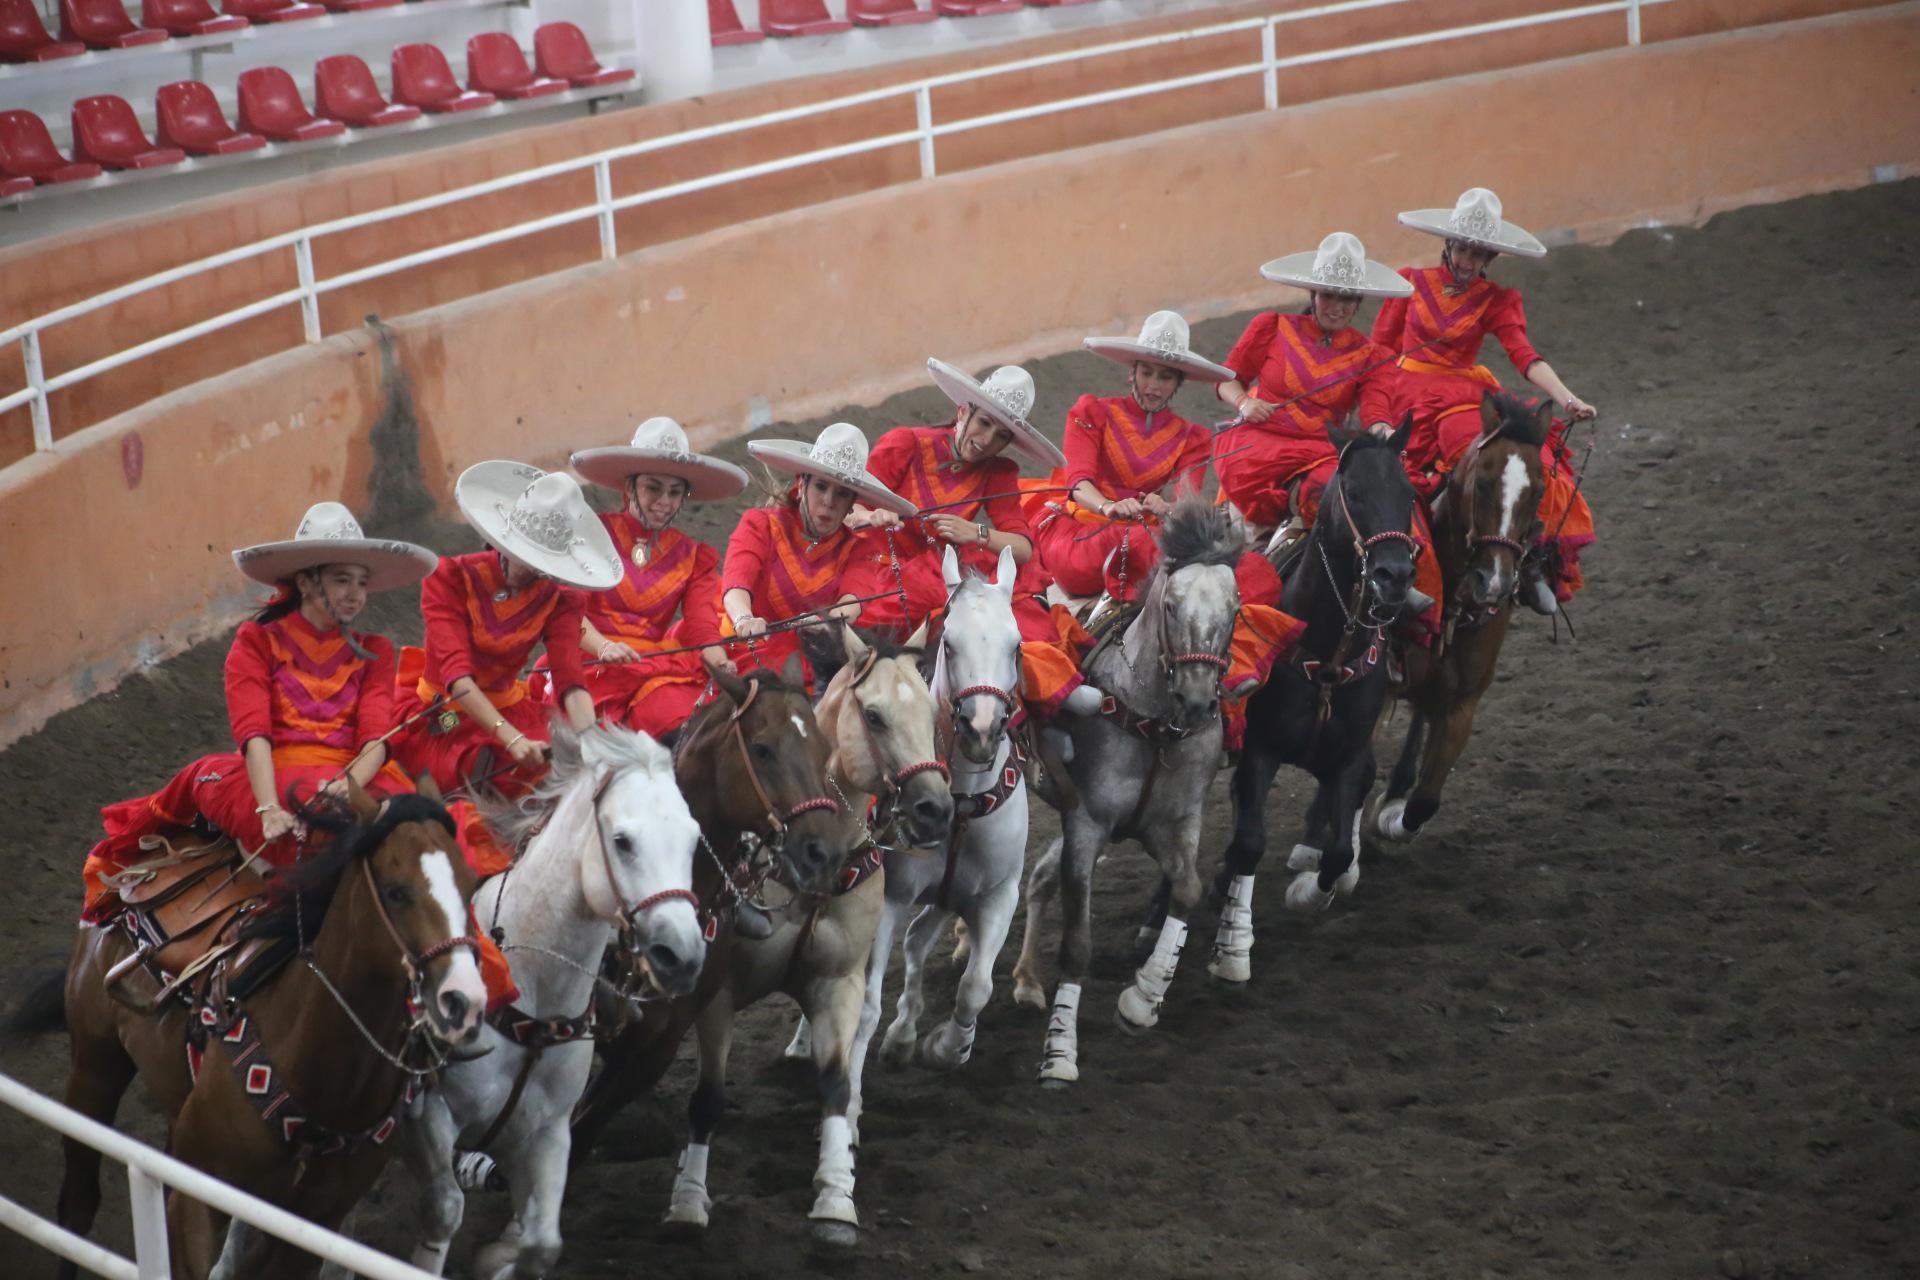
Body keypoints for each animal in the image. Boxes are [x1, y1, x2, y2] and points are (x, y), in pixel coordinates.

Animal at [55, 790, 487, 1280]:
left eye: (471, 887)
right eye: (396, 892)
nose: (464, 1001)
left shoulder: (315, 1224)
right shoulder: (198, 1197)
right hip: (95, 1064)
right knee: (78, 1204)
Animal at [401, 725, 710, 1274]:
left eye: (694, 838)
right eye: (622, 841)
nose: (682, 955)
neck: (532, 1001)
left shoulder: (546, 1134)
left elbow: (542, 1244)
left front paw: (497, 1258)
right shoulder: (432, 1116)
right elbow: (443, 1212)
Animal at [852, 548, 1036, 1120]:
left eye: (1016, 644)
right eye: (949, 643)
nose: (981, 729)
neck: (961, 802)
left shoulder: (999, 894)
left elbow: (975, 986)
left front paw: (944, 1048)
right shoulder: (890, 896)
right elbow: (865, 998)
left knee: (918, 943)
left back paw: (905, 1037)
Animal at [1374, 391, 1551, 852]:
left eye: (1540, 489)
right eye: (1484, 482)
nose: (1495, 581)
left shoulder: (1463, 704)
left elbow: (1424, 803)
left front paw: (1389, 814)